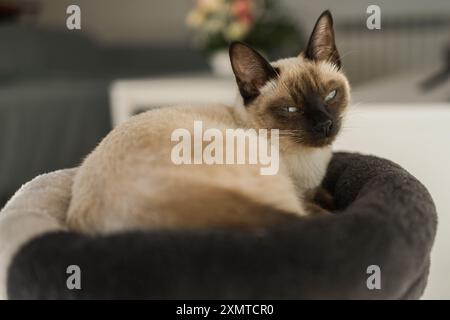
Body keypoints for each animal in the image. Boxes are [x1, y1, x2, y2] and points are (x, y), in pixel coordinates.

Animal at [67, 10, 350, 235]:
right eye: (291, 109)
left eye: (330, 95)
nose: (325, 125)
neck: (310, 164)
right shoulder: (299, 195)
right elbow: (317, 208)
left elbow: (322, 195)